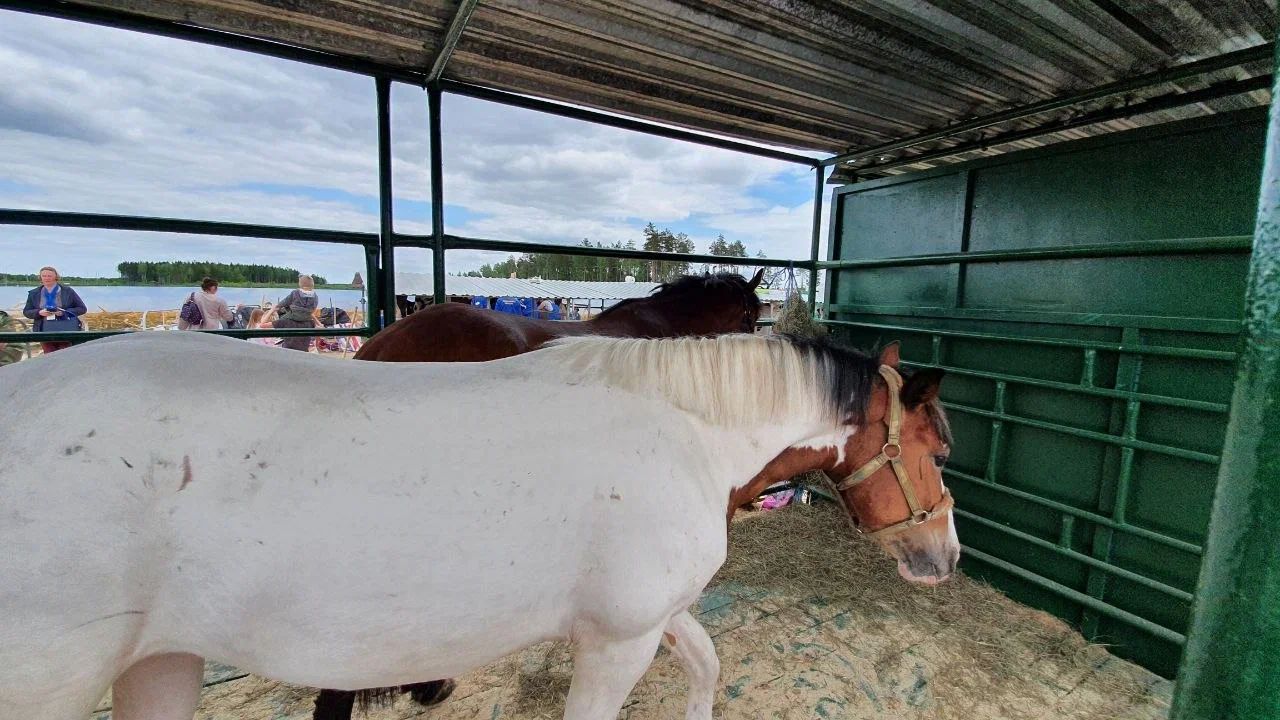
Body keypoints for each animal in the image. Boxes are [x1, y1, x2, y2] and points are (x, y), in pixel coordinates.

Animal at [0, 331, 956, 720]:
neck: (686, 429)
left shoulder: (655, 616)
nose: (944, 557)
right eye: (931, 445)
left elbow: (708, 663)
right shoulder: (617, 640)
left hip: (162, 664)